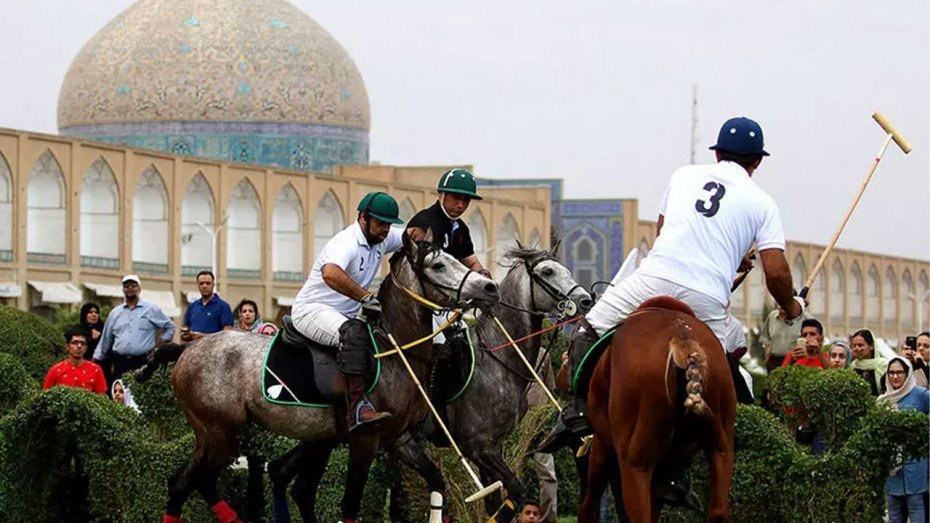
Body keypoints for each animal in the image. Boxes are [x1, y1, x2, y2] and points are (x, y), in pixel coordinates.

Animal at [139, 237, 500, 523]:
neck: (396, 352)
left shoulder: (397, 439)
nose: (490, 287)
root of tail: (187, 348)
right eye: (438, 264)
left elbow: (436, 480)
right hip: (223, 432)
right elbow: (350, 504)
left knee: (184, 483)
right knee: (200, 481)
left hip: (215, 434)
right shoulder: (364, 440)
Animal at [268, 248, 592, 523]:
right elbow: (513, 492)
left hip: (320, 432)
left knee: (288, 476)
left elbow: (497, 499)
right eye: (548, 271)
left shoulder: (494, 445)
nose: (586, 300)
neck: (498, 357)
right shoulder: (475, 444)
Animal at [580, 298, 732, 523]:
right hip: (721, 446)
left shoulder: (602, 440)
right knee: (719, 509)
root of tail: (682, 338)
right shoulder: (667, 467)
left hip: (635, 461)